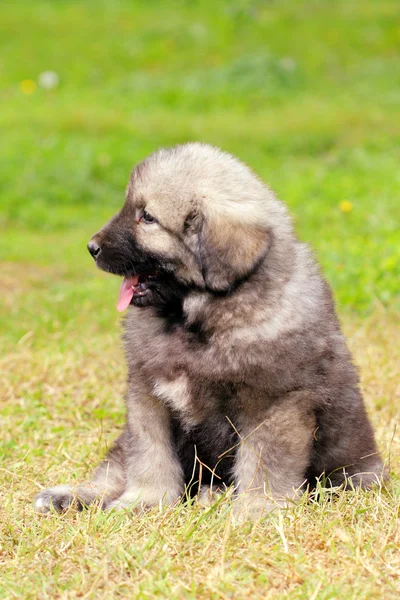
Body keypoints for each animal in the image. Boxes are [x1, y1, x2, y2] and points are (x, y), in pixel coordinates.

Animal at [34, 143, 384, 516]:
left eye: (147, 217)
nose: (92, 247)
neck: (200, 318)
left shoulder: (274, 404)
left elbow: (264, 464)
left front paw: (256, 509)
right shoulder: (148, 394)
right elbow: (150, 455)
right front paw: (144, 500)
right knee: (115, 467)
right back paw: (68, 495)